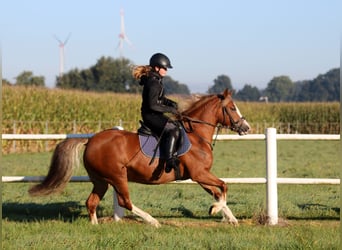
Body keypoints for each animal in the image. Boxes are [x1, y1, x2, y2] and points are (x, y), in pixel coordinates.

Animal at [28, 89, 250, 228]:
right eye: (232, 108)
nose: (246, 128)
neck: (196, 135)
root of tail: (90, 140)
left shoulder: (200, 176)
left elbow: (218, 191)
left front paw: (230, 218)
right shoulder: (199, 174)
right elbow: (224, 186)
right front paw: (214, 210)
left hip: (101, 181)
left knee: (91, 202)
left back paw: (95, 225)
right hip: (118, 177)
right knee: (125, 201)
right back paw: (153, 221)